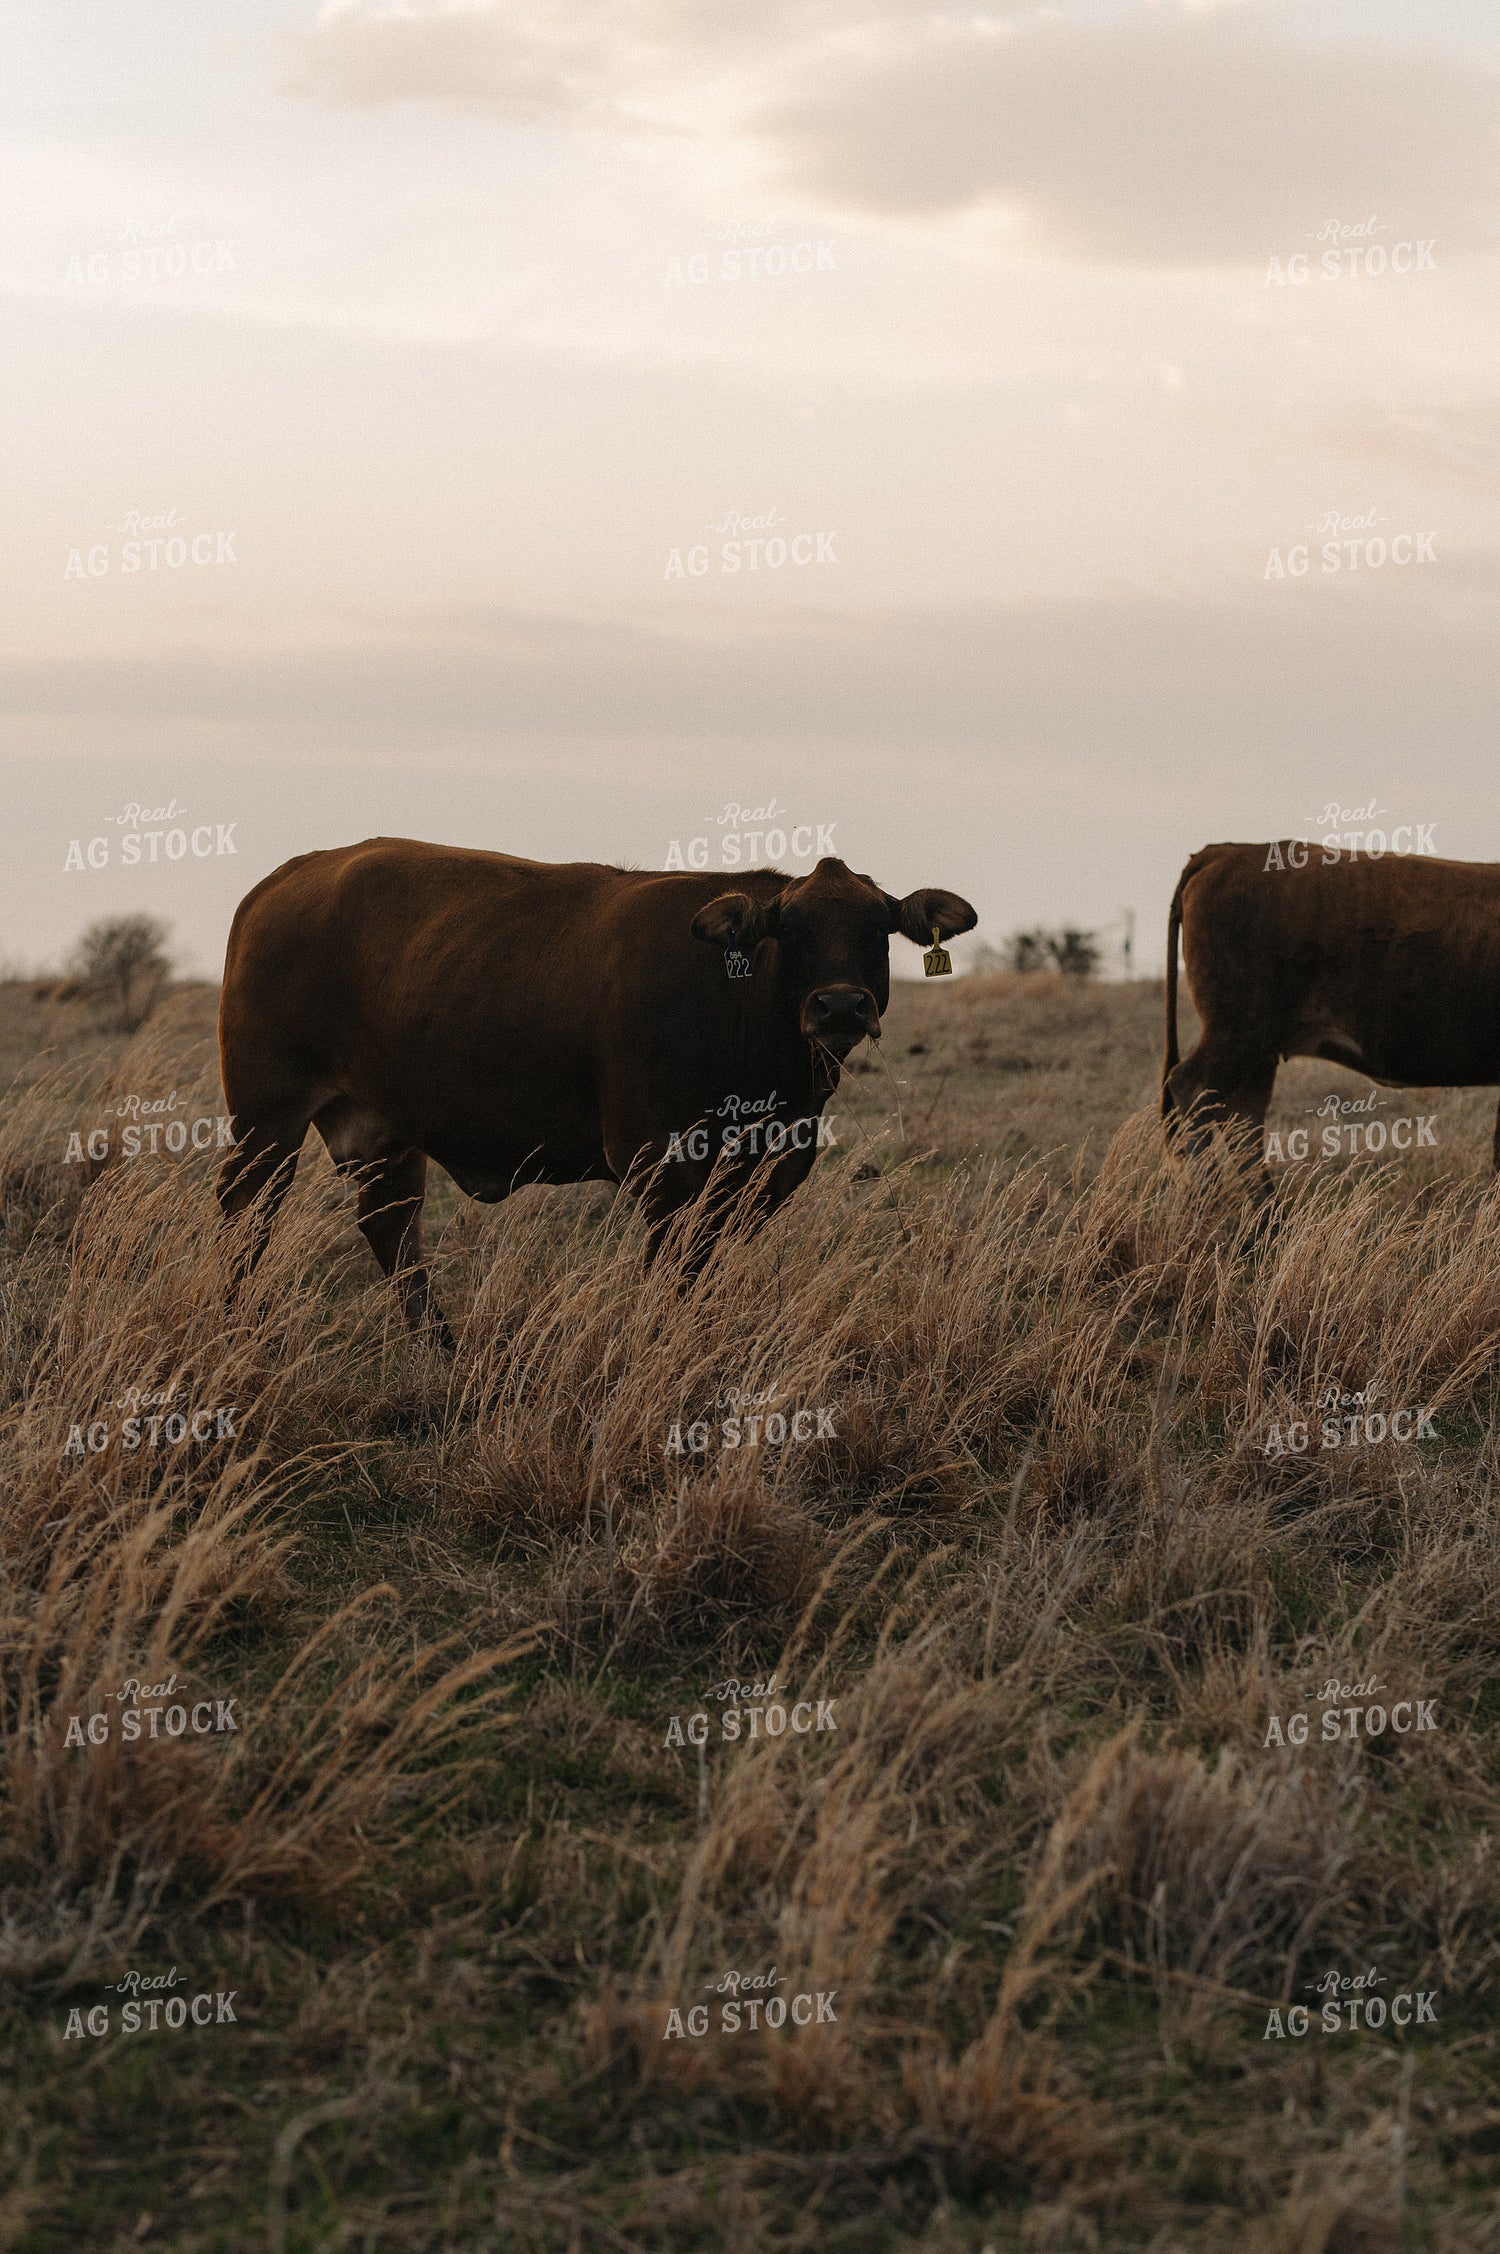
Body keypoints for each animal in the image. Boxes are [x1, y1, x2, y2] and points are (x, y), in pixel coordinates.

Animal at [216, 839, 976, 1346]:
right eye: (790, 931)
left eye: (878, 930)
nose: (840, 1006)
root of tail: (292, 875)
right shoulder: (663, 1163)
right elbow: (676, 1267)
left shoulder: (772, 1163)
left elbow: (712, 1263)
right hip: (266, 1113)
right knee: (245, 1215)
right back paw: (234, 1328)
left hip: (385, 1127)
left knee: (391, 1226)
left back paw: (440, 1349)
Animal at [1162, 841, 1500, 1198]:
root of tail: (1227, 851)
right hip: (1237, 1032)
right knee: (1192, 1088)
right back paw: (1209, 1199)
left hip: (1258, 1049)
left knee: (1243, 1119)